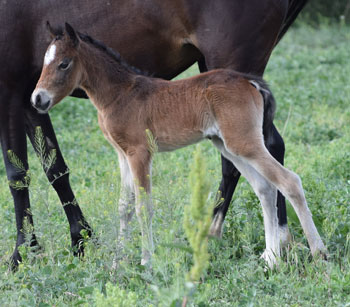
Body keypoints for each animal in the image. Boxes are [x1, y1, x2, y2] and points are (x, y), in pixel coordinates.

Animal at [31, 24, 326, 268]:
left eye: (64, 64)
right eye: (44, 63)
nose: (37, 99)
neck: (120, 93)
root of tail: (248, 80)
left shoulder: (140, 153)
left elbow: (143, 207)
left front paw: (146, 261)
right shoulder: (122, 154)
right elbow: (124, 206)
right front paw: (117, 263)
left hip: (244, 143)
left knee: (289, 181)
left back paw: (318, 252)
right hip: (229, 145)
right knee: (265, 188)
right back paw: (272, 258)